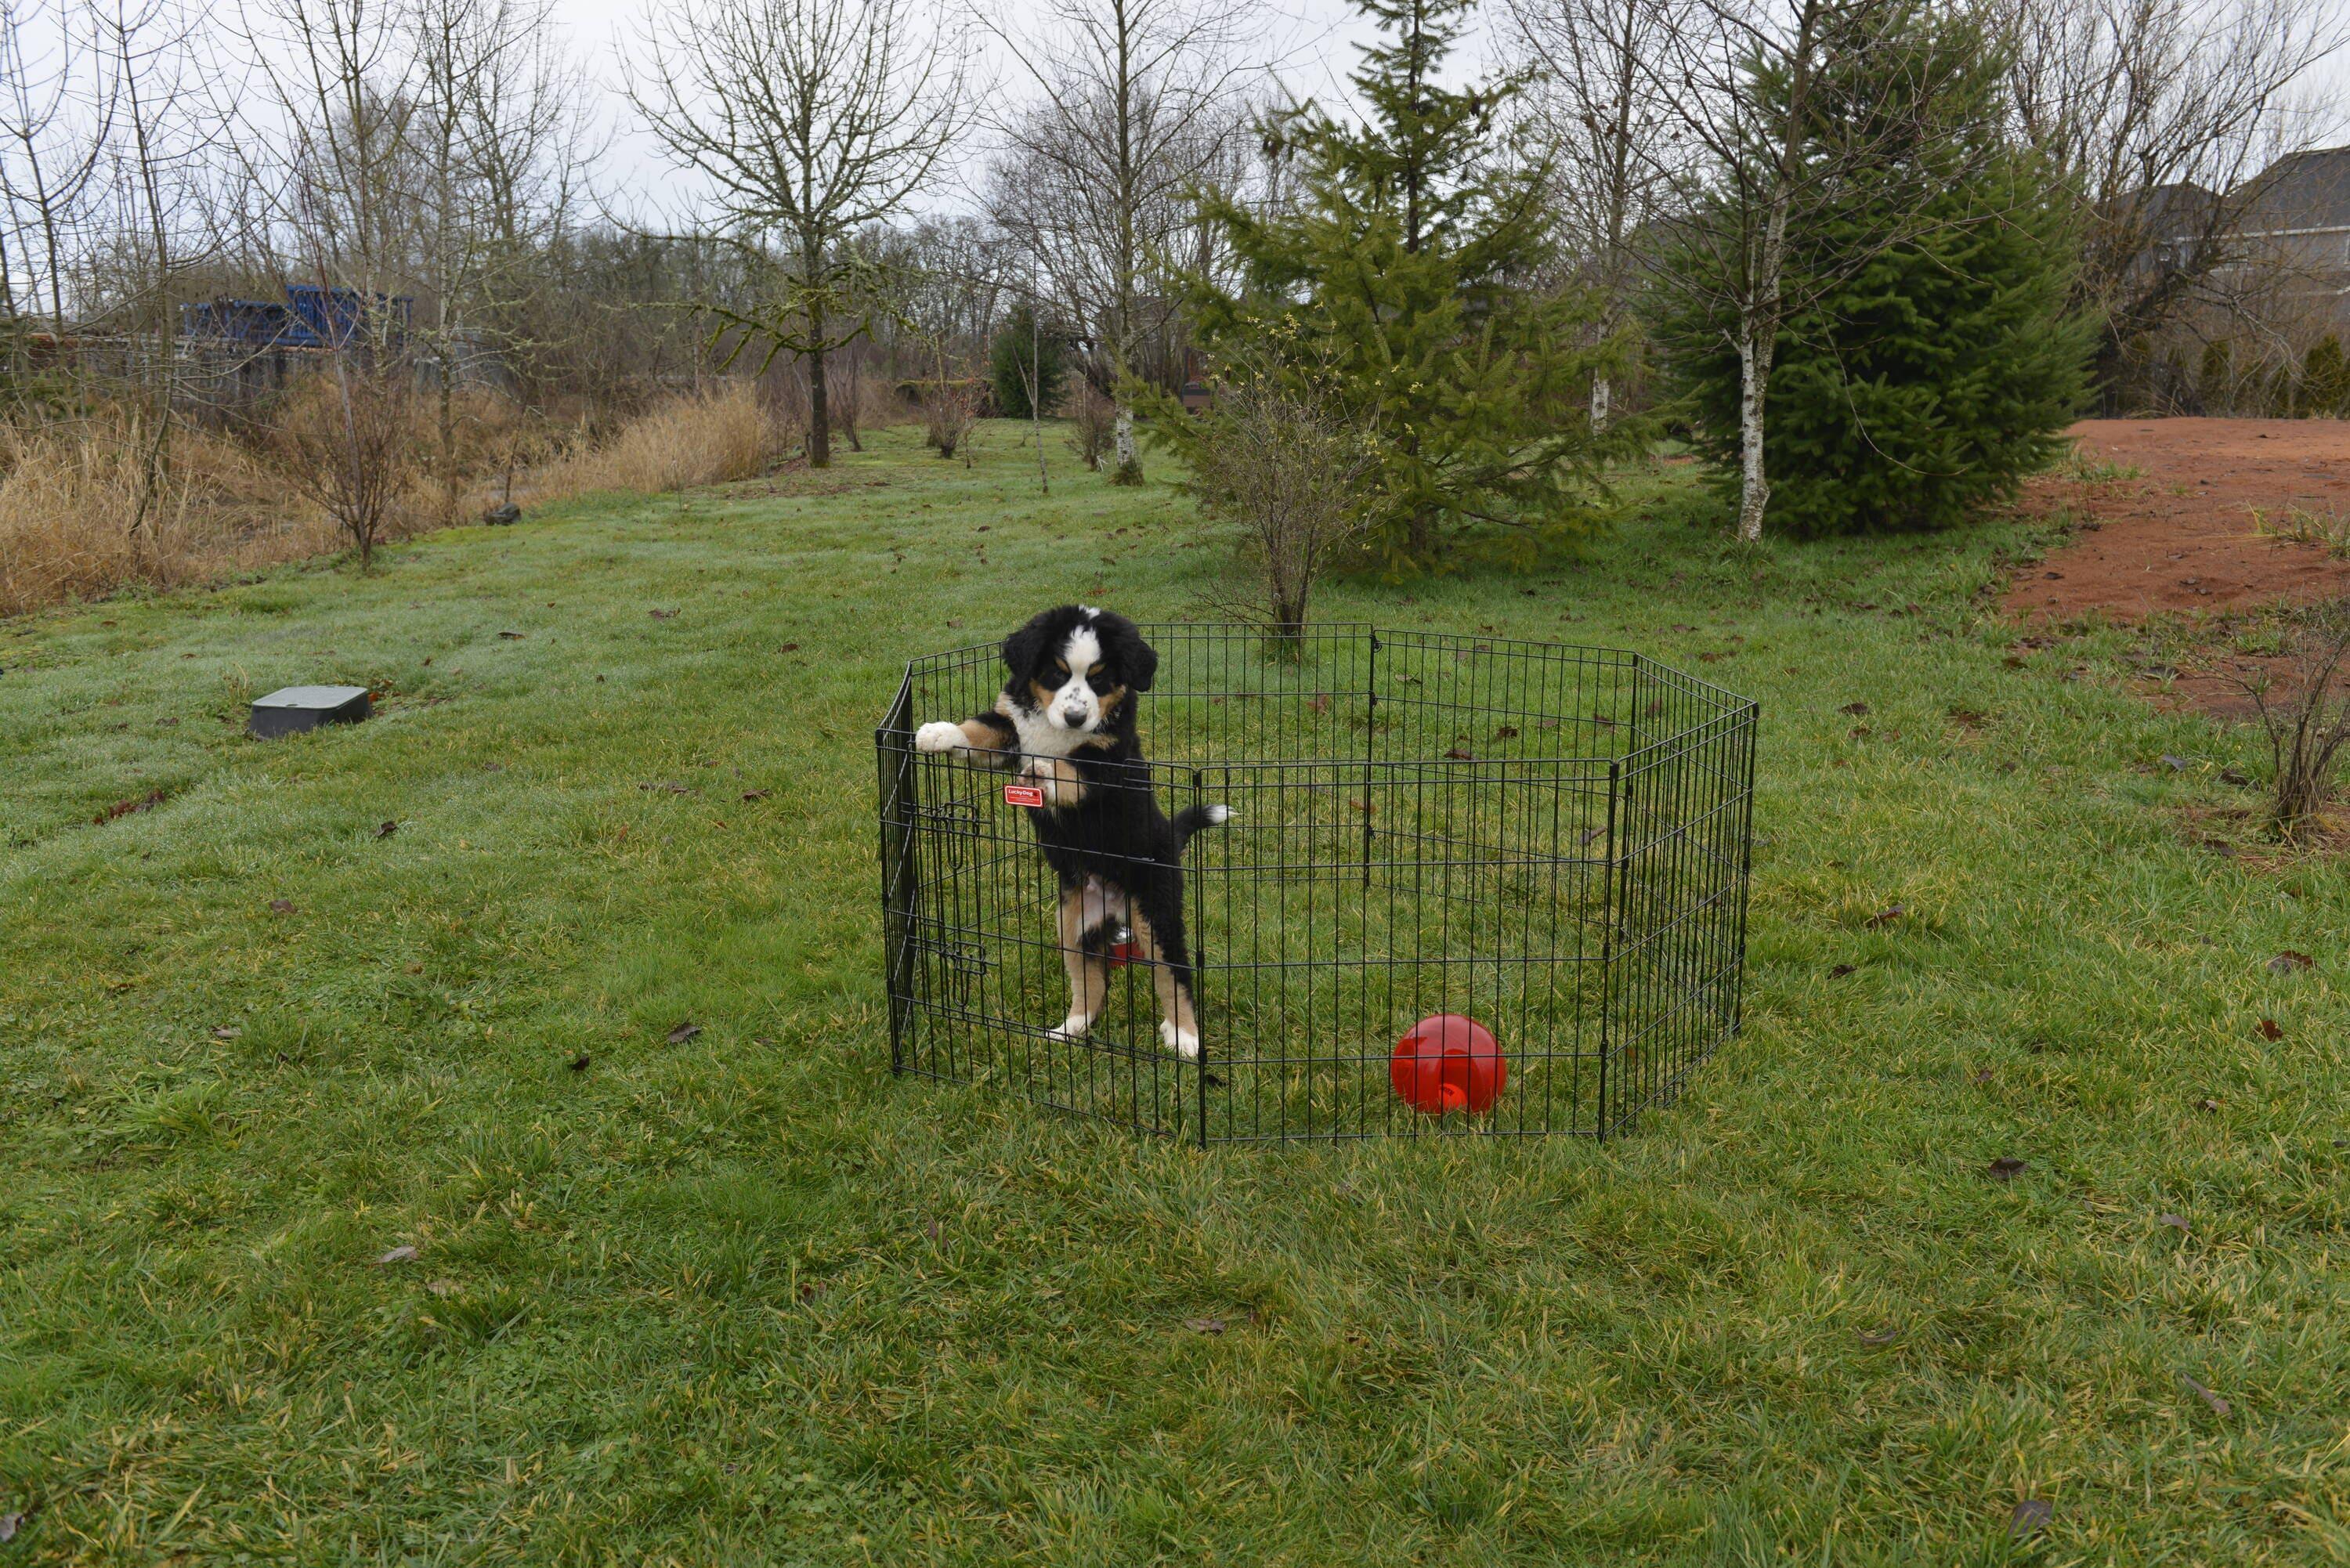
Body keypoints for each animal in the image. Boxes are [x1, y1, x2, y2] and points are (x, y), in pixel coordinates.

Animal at [912, 606, 1231, 1062]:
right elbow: (979, 730)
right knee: (1091, 983)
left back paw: (1184, 1037)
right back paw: (1071, 1029)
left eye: (1099, 679)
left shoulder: (1108, 759)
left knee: (1176, 976)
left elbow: (1070, 768)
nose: (1077, 717)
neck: (1055, 730)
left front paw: (1042, 771)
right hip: (1073, 928)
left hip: (1157, 912)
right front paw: (939, 733)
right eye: (1056, 674)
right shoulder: (1010, 727)